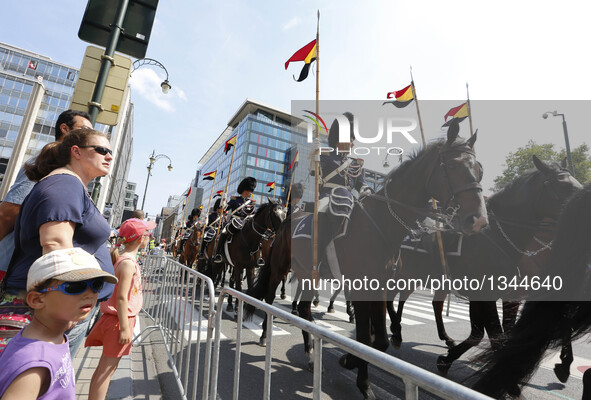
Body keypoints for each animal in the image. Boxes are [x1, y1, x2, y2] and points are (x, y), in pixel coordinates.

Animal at [247, 122, 488, 400]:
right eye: (452, 166)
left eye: (479, 170)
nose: (479, 220)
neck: (381, 223)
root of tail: (287, 221)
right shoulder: (361, 286)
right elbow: (364, 338)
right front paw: (363, 382)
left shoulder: (380, 286)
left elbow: (379, 341)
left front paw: (350, 360)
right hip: (279, 269)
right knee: (269, 300)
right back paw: (265, 336)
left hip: (308, 274)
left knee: (305, 310)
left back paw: (311, 355)